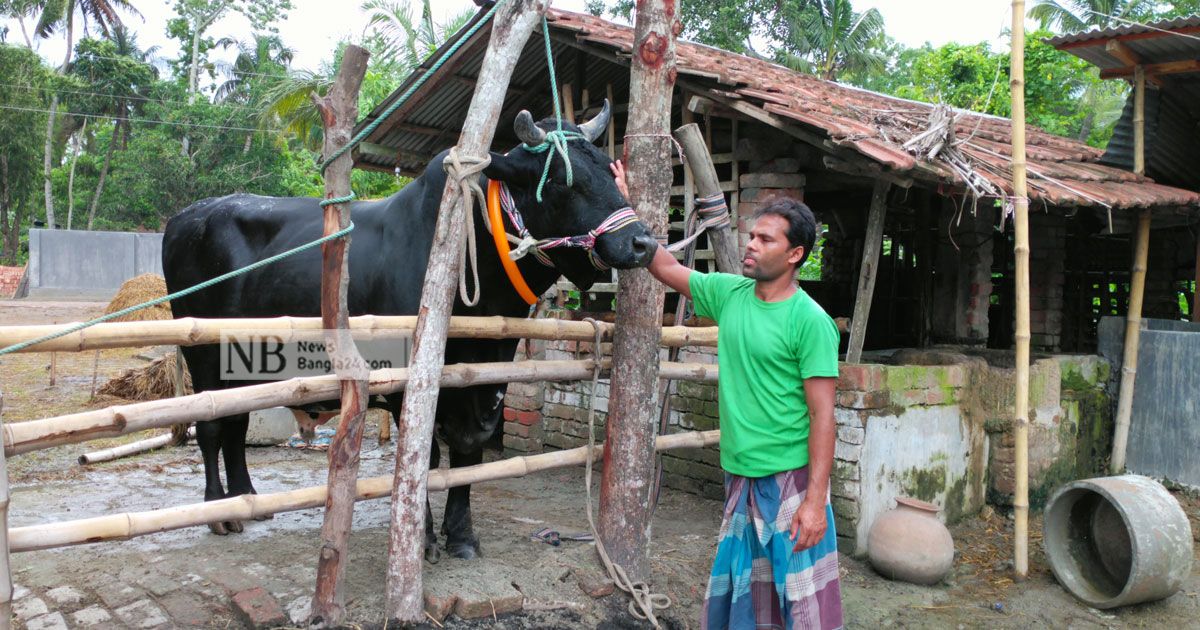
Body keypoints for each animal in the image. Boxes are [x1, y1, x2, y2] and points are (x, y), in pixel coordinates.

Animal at [162, 103, 657, 559]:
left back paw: (247, 499)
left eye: (610, 171)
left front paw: (462, 535)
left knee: (236, 422)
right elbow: (424, 456)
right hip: (203, 356)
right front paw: (422, 537)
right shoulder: (407, 383)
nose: (642, 242)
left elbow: (469, 454)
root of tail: (186, 216)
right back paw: (219, 511)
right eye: (560, 182)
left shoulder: (489, 379)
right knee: (212, 425)